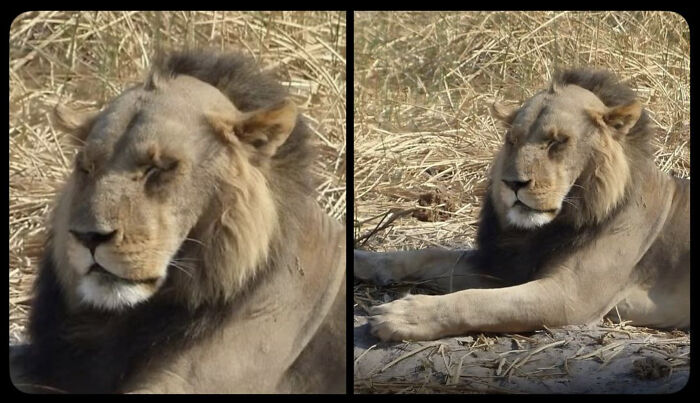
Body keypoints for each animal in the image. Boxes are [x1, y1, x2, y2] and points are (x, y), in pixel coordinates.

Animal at [355, 69, 689, 342]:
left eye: (557, 142)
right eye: (512, 140)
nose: (513, 183)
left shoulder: (571, 297)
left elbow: (477, 301)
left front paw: (403, 316)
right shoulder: (504, 265)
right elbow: (427, 255)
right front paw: (361, 259)